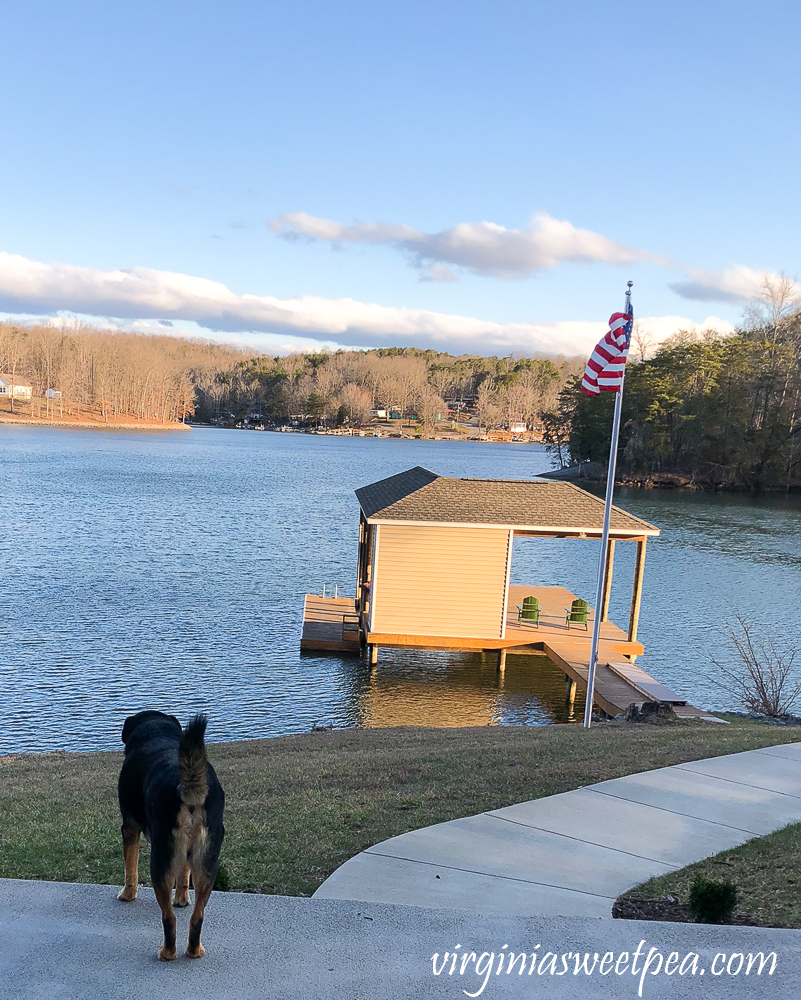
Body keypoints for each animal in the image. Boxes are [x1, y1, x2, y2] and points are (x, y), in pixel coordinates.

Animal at [115, 712, 223, 960]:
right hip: (206, 862)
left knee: (168, 918)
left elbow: (130, 868)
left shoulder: (130, 826)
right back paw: (194, 951)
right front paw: (181, 900)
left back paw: (167, 953)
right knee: (197, 916)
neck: (157, 733)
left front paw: (127, 894)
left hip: (160, 859)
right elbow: (183, 876)